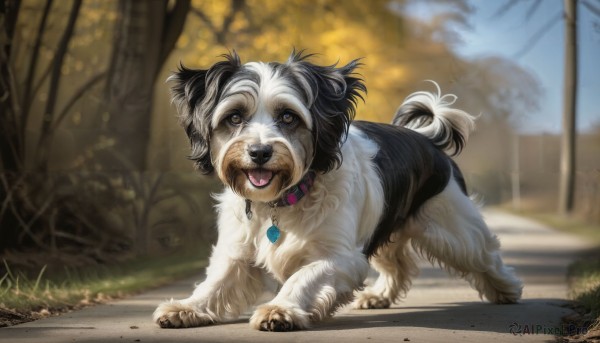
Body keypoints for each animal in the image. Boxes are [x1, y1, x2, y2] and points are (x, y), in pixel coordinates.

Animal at [152, 49, 524, 332]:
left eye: (288, 117)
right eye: (234, 117)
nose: (259, 152)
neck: (280, 202)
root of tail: (427, 139)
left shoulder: (340, 256)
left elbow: (302, 277)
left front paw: (280, 309)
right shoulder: (238, 251)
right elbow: (215, 282)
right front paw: (187, 306)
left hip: (453, 229)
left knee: (484, 254)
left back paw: (507, 289)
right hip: (385, 228)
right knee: (398, 265)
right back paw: (379, 296)